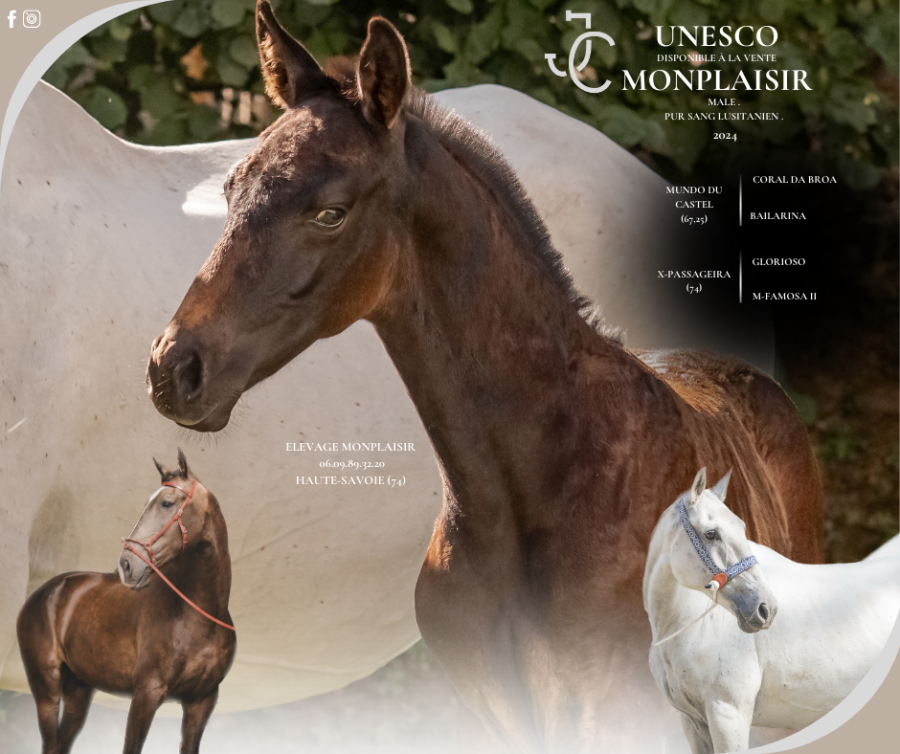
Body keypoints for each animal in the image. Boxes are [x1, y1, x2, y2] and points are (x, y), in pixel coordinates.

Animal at [16, 451, 235, 754]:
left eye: (167, 503)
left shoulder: (201, 702)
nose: (127, 565)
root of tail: (43, 594)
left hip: (78, 691)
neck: (197, 616)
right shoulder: (146, 693)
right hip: (46, 688)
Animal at [644, 468, 900, 754]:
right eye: (711, 533)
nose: (766, 609)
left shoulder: (728, 715)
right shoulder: (693, 723)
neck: (687, 625)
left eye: (742, 528)